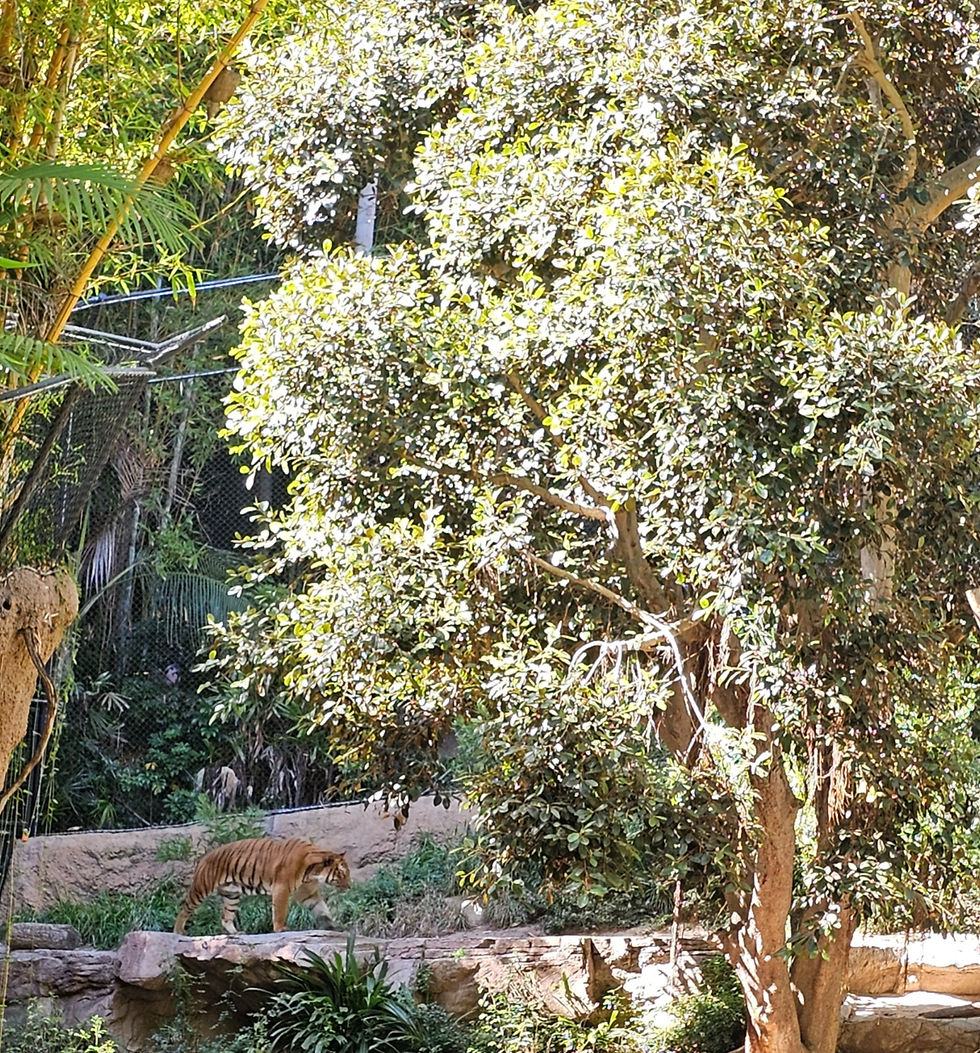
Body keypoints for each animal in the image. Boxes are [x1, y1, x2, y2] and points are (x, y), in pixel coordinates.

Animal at [173, 836, 352, 935]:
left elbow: (321, 908)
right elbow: (279, 911)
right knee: (185, 909)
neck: (313, 871)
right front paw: (280, 929)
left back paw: (237, 933)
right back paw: (178, 931)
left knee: (225, 917)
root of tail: (205, 856)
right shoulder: (281, 888)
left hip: (232, 895)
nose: (350, 886)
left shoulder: (307, 892)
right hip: (201, 888)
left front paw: (333, 926)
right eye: (343, 873)